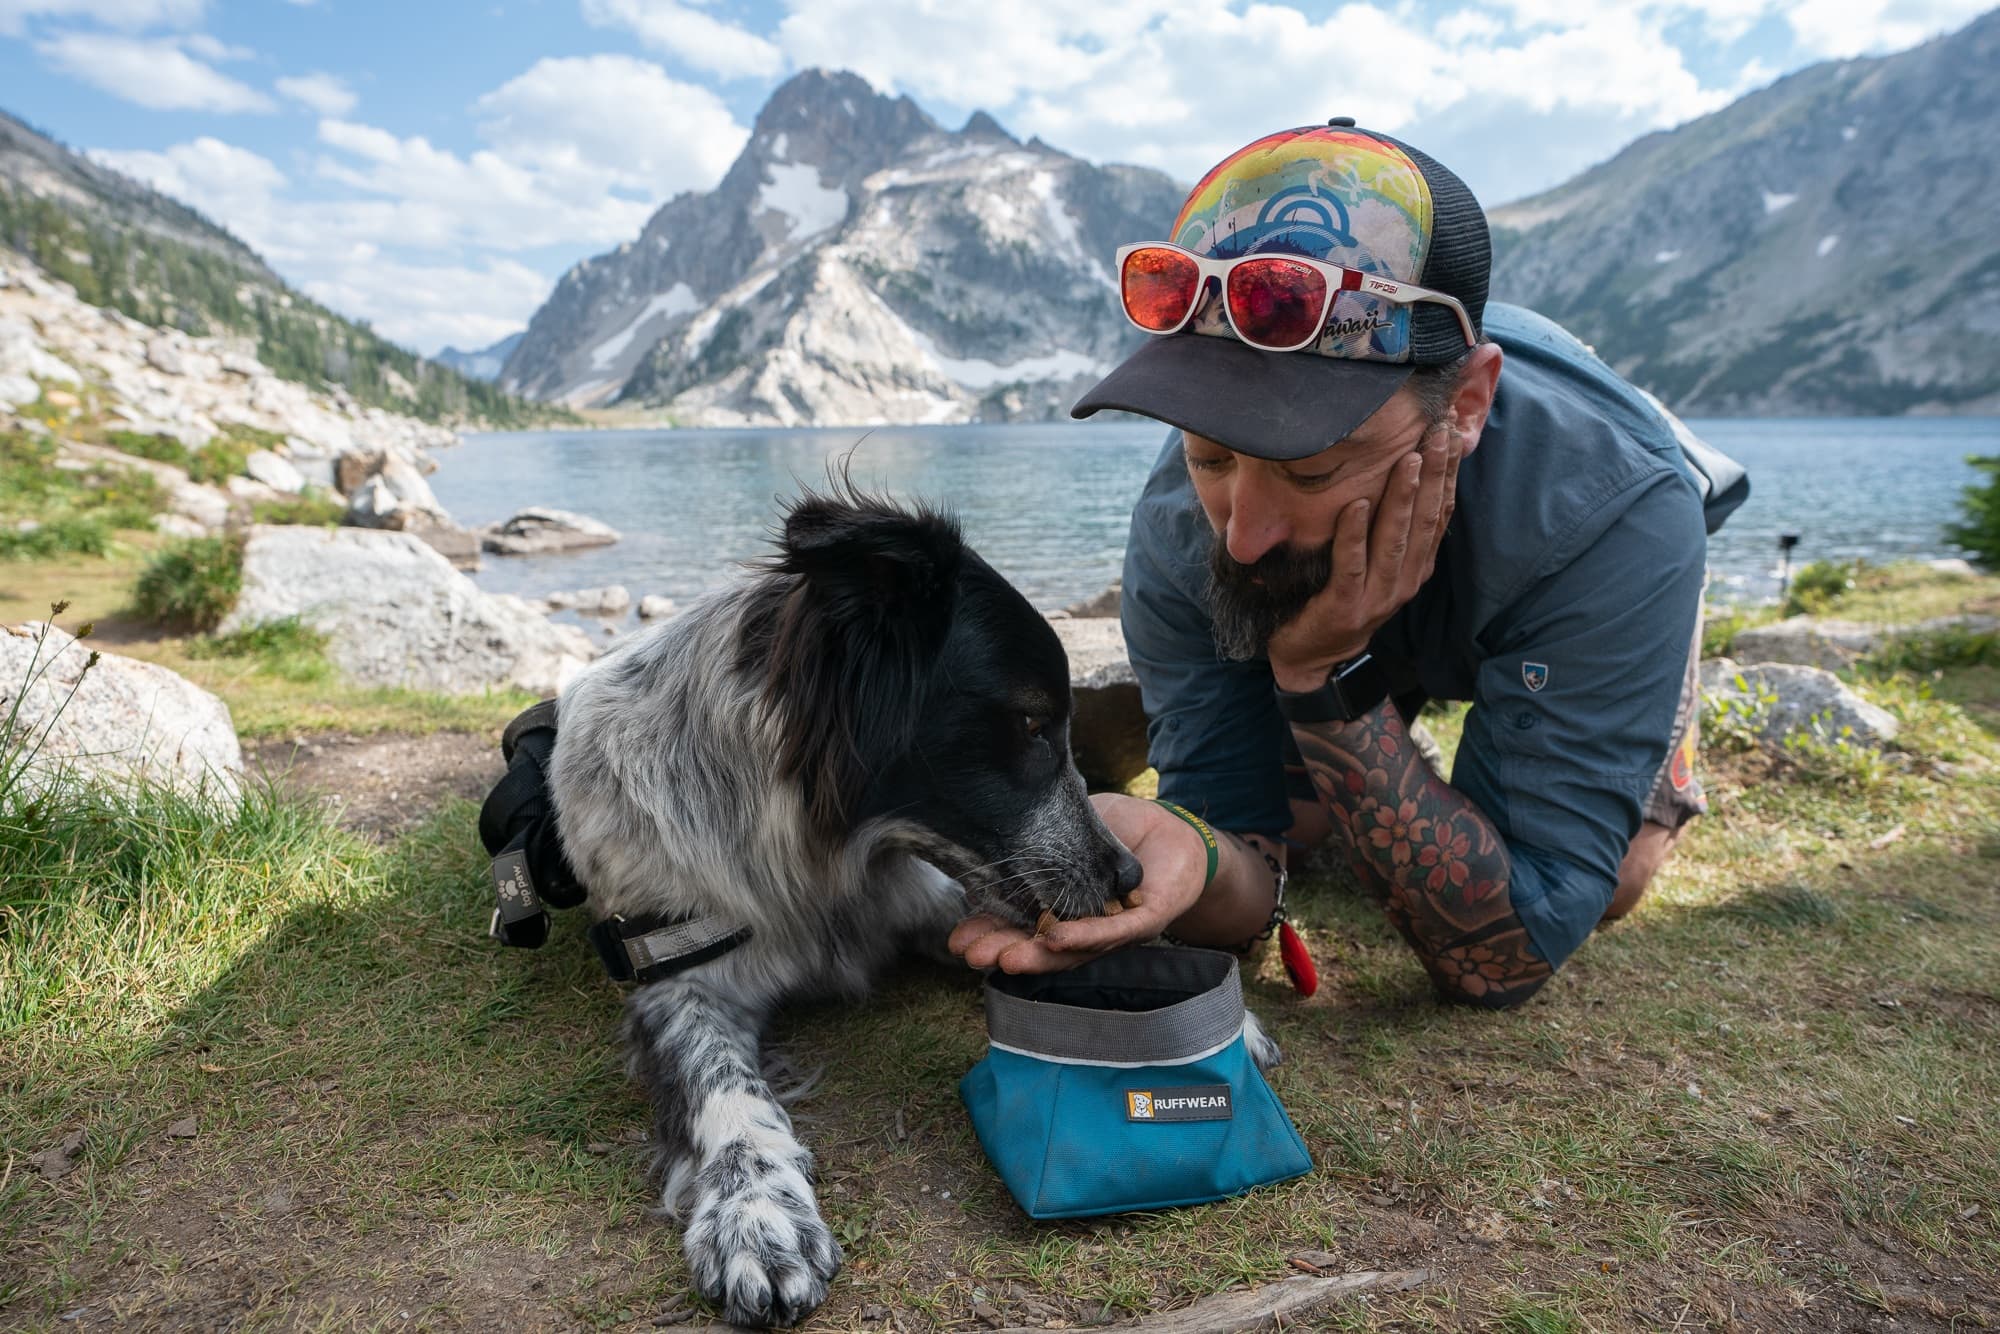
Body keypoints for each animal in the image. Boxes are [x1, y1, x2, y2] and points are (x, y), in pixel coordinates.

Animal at [548, 488, 1152, 1328]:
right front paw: (757, 1214)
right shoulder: (676, 980)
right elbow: (725, 1091)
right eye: (1032, 723)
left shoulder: (920, 895)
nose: (1130, 872)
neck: (820, 871)